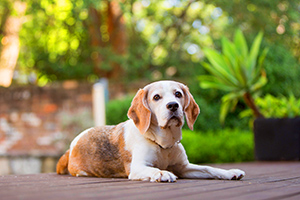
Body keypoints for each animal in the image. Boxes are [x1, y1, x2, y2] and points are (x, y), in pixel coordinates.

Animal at [55, 80, 244, 182]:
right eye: (156, 97)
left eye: (178, 94)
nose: (173, 105)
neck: (164, 144)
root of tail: (70, 147)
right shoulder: (138, 168)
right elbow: (154, 170)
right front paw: (162, 172)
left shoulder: (184, 167)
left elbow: (209, 168)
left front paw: (229, 172)